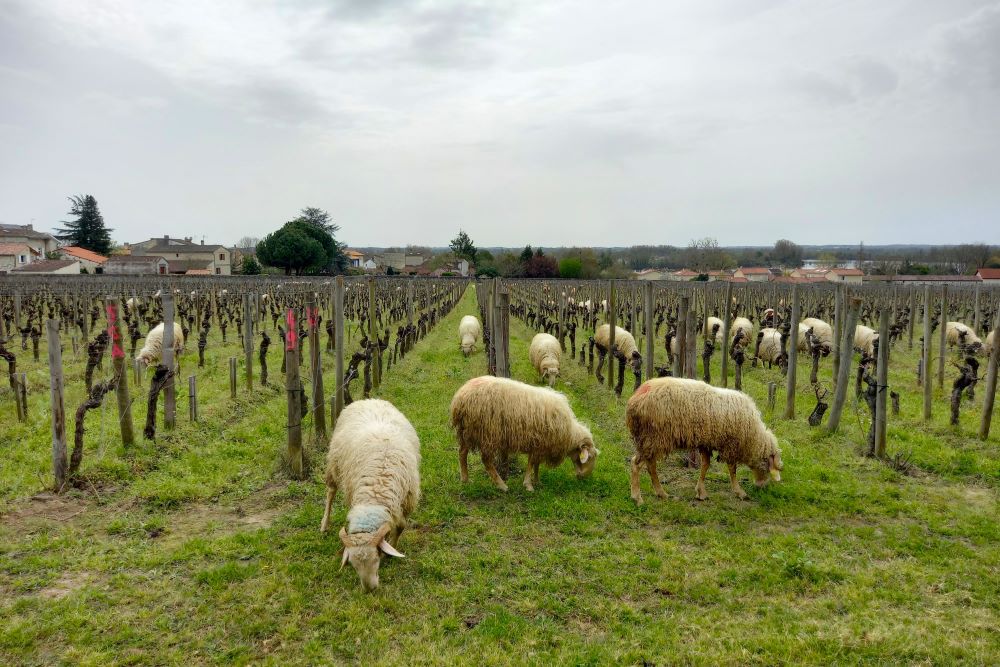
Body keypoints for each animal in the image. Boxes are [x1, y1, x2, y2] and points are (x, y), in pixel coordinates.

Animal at [320, 400, 422, 592]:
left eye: (376, 558)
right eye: (353, 565)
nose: (369, 590)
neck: (376, 493)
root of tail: (367, 400)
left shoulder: (405, 502)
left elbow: (400, 527)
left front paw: (391, 548)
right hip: (335, 465)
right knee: (330, 492)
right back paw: (324, 524)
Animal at [450, 378, 596, 494]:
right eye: (589, 457)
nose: (584, 477)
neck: (569, 434)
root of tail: (459, 398)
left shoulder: (541, 445)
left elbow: (536, 464)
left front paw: (537, 481)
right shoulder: (539, 443)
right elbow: (531, 463)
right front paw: (528, 485)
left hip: (467, 432)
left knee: (462, 453)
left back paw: (465, 479)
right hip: (488, 433)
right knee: (486, 460)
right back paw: (502, 486)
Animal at [624, 378, 780, 504]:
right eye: (768, 467)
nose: (762, 487)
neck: (753, 436)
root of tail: (636, 398)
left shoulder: (706, 442)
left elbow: (705, 465)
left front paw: (701, 492)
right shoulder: (730, 444)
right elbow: (732, 469)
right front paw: (739, 492)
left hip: (651, 440)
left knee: (651, 465)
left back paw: (662, 494)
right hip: (653, 437)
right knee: (636, 464)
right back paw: (637, 498)